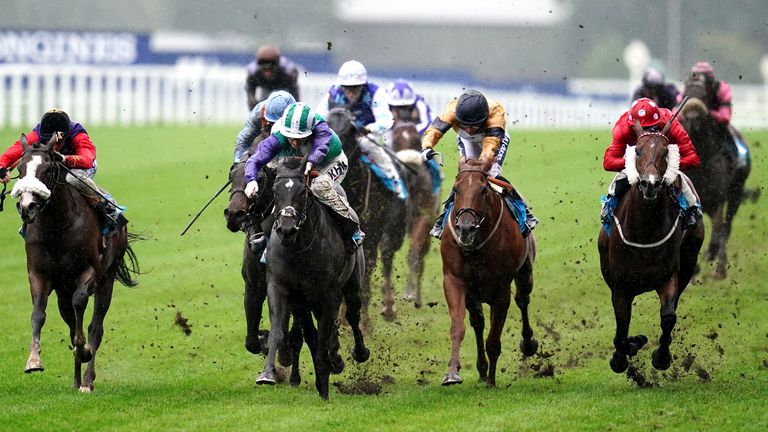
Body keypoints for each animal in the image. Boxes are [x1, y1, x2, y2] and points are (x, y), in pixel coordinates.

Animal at [10, 134, 140, 392]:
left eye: (47, 169)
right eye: (20, 169)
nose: (27, 207)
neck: (56, 227)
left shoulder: (88, 271)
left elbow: (81, 305)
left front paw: (84, 350)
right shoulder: (39, 274)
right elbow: (38, 313)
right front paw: (33, 360)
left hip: (107, 278)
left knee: (95, 326)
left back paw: (87, 380)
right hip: (63, 290)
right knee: (70, 322)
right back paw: (76, 380)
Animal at [255, 158, 368, 398]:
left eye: (302, 192)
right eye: (275, 191)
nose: (286, 230)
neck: (299, 250)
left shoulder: (329, 295)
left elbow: (324, 336)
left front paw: (324, 384)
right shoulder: (281, 289)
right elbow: (280, 332)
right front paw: (267, 373)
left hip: (352, 284)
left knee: (353, 316)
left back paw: (359, 353)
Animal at [324, 108, 408, 328]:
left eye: (351, 129)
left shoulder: (370, 230)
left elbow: (368, 267)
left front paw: (364, 321)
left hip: (395, 229)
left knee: (386, 256)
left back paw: (389, 307)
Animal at [438, 158, 540, 384]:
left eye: (483, 190)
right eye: (455, 189)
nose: (465, 229)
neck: (476, 246)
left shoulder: (501, 287)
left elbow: (493, 339)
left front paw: (492, 381)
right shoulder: (455, 280)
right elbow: (458, 327)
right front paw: (452, 372)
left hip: (525, 272)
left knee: (522, 299)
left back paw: (527, 343)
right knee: (478, 322)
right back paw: (482, 369)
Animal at [596, 122, 704, 374]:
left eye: (665, 152)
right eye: (637, 151)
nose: (650, 184)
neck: (644, 230)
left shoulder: (668, 276)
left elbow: (668, 317)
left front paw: (661, 357)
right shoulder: (620, 285)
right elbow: (621, 327)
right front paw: (625, 353)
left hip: (689, 260)